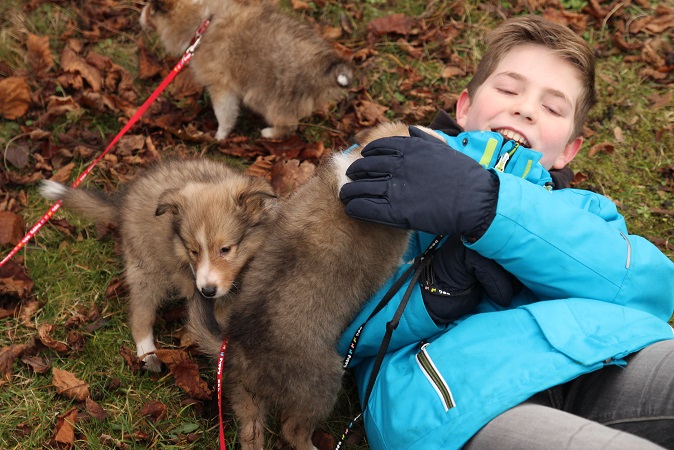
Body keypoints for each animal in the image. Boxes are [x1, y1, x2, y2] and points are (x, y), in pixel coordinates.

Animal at [38, 159, 276, 372]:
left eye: (225, 249)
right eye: (193, 251)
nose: (207, 291)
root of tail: (122, 204)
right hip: (146, 268)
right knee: (140, 312)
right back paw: (148, 353)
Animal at [140, 0, 354, 140]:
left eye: (151, 9)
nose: (140, 15)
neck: (204, 22)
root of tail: (324, 67)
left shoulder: (221, 86)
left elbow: (224, 113)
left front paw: (220, 135)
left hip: (271, 97)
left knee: (289, 125)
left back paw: (269, 133)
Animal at [186, 121, 444, 448]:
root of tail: (242, 350)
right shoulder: (387, 267)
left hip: (245, 398)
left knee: (251, 435)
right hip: (322, 385)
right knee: (293, 430)